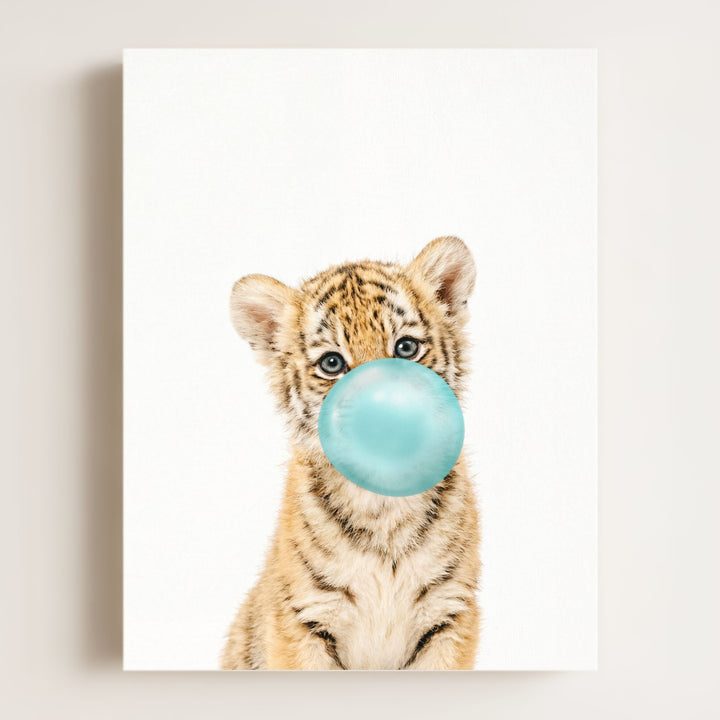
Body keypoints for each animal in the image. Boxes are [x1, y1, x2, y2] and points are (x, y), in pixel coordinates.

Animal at [221, 236, 480, 670]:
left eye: (406, 347)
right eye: (332, 363)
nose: (384, 413)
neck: (385, 504)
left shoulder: (450, 613)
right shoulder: (303, 619)